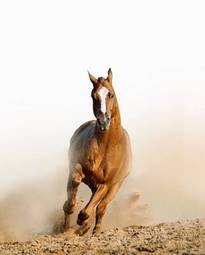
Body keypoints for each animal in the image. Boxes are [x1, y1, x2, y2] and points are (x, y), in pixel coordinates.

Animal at [63, 67, 132, 235]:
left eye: (111, 94)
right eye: (93, 95)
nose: (103, 122)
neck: (106, 145)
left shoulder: (106, 183)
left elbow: (91, 208)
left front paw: (82, 220)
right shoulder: (76, 166)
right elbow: (74, 183)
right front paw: (71, 218)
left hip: (116, 185)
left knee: (101, 207)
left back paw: (95, 229)